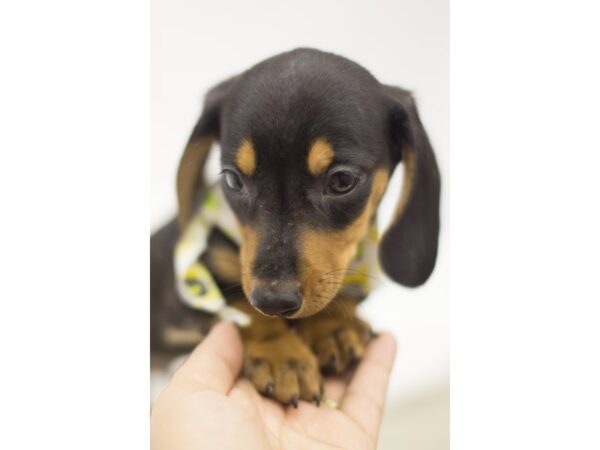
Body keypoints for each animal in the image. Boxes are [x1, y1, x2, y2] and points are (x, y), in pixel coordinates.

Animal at [150, 47, 440, 406]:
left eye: (342, 180)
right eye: (232, 180)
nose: (273, 302)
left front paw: (332, 327)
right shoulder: (183, 296)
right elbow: (240, 305)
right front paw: (282, 356)